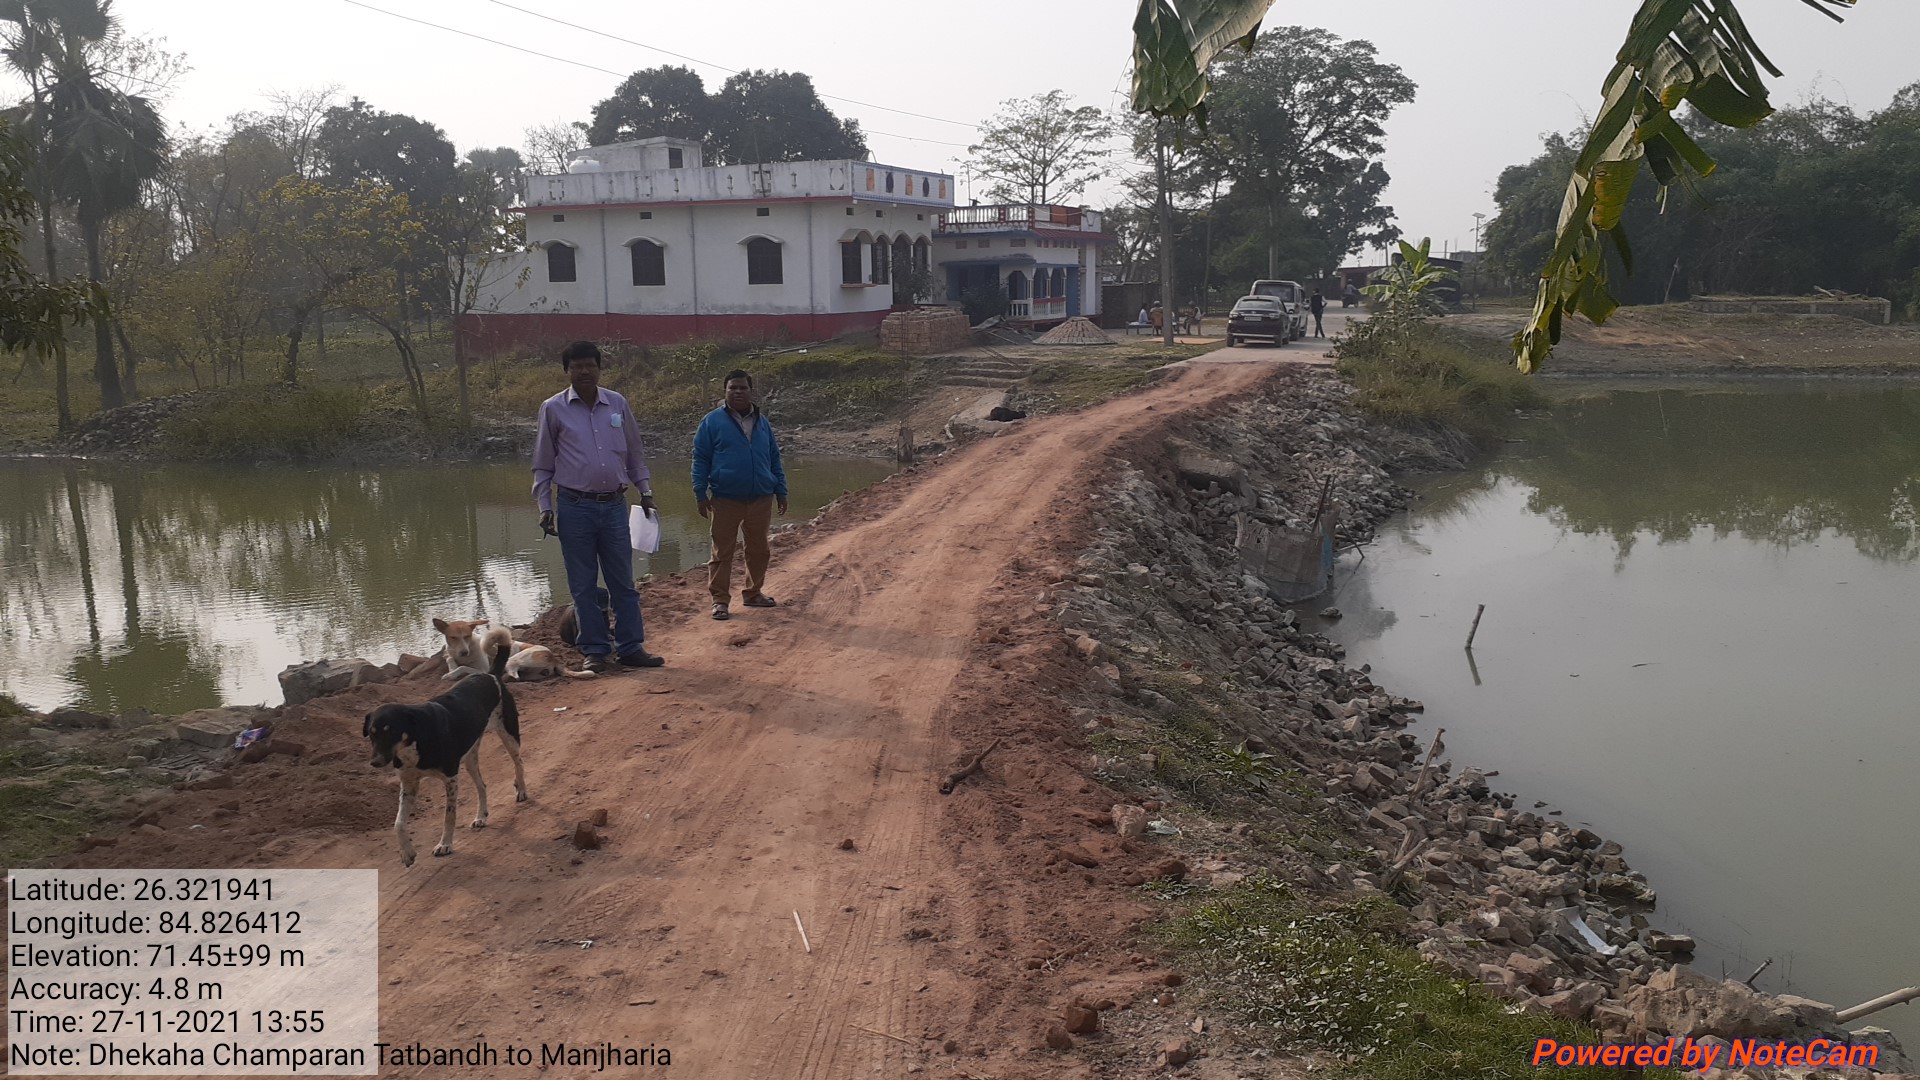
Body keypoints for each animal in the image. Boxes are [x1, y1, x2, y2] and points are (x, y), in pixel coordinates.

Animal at [364, 640, 527, 866]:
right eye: (371, 734)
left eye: (391, 732)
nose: (375, 762)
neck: (416, 740)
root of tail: (490, 675)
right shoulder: (409, 784)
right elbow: (398, 823)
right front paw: (407, 853)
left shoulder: (450, 779)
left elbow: (449, 816)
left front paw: (445, 844)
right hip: (470, 759)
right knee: (482, 786)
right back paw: (481, 816)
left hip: (509, 735)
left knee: (519, 763)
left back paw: (521, 790)